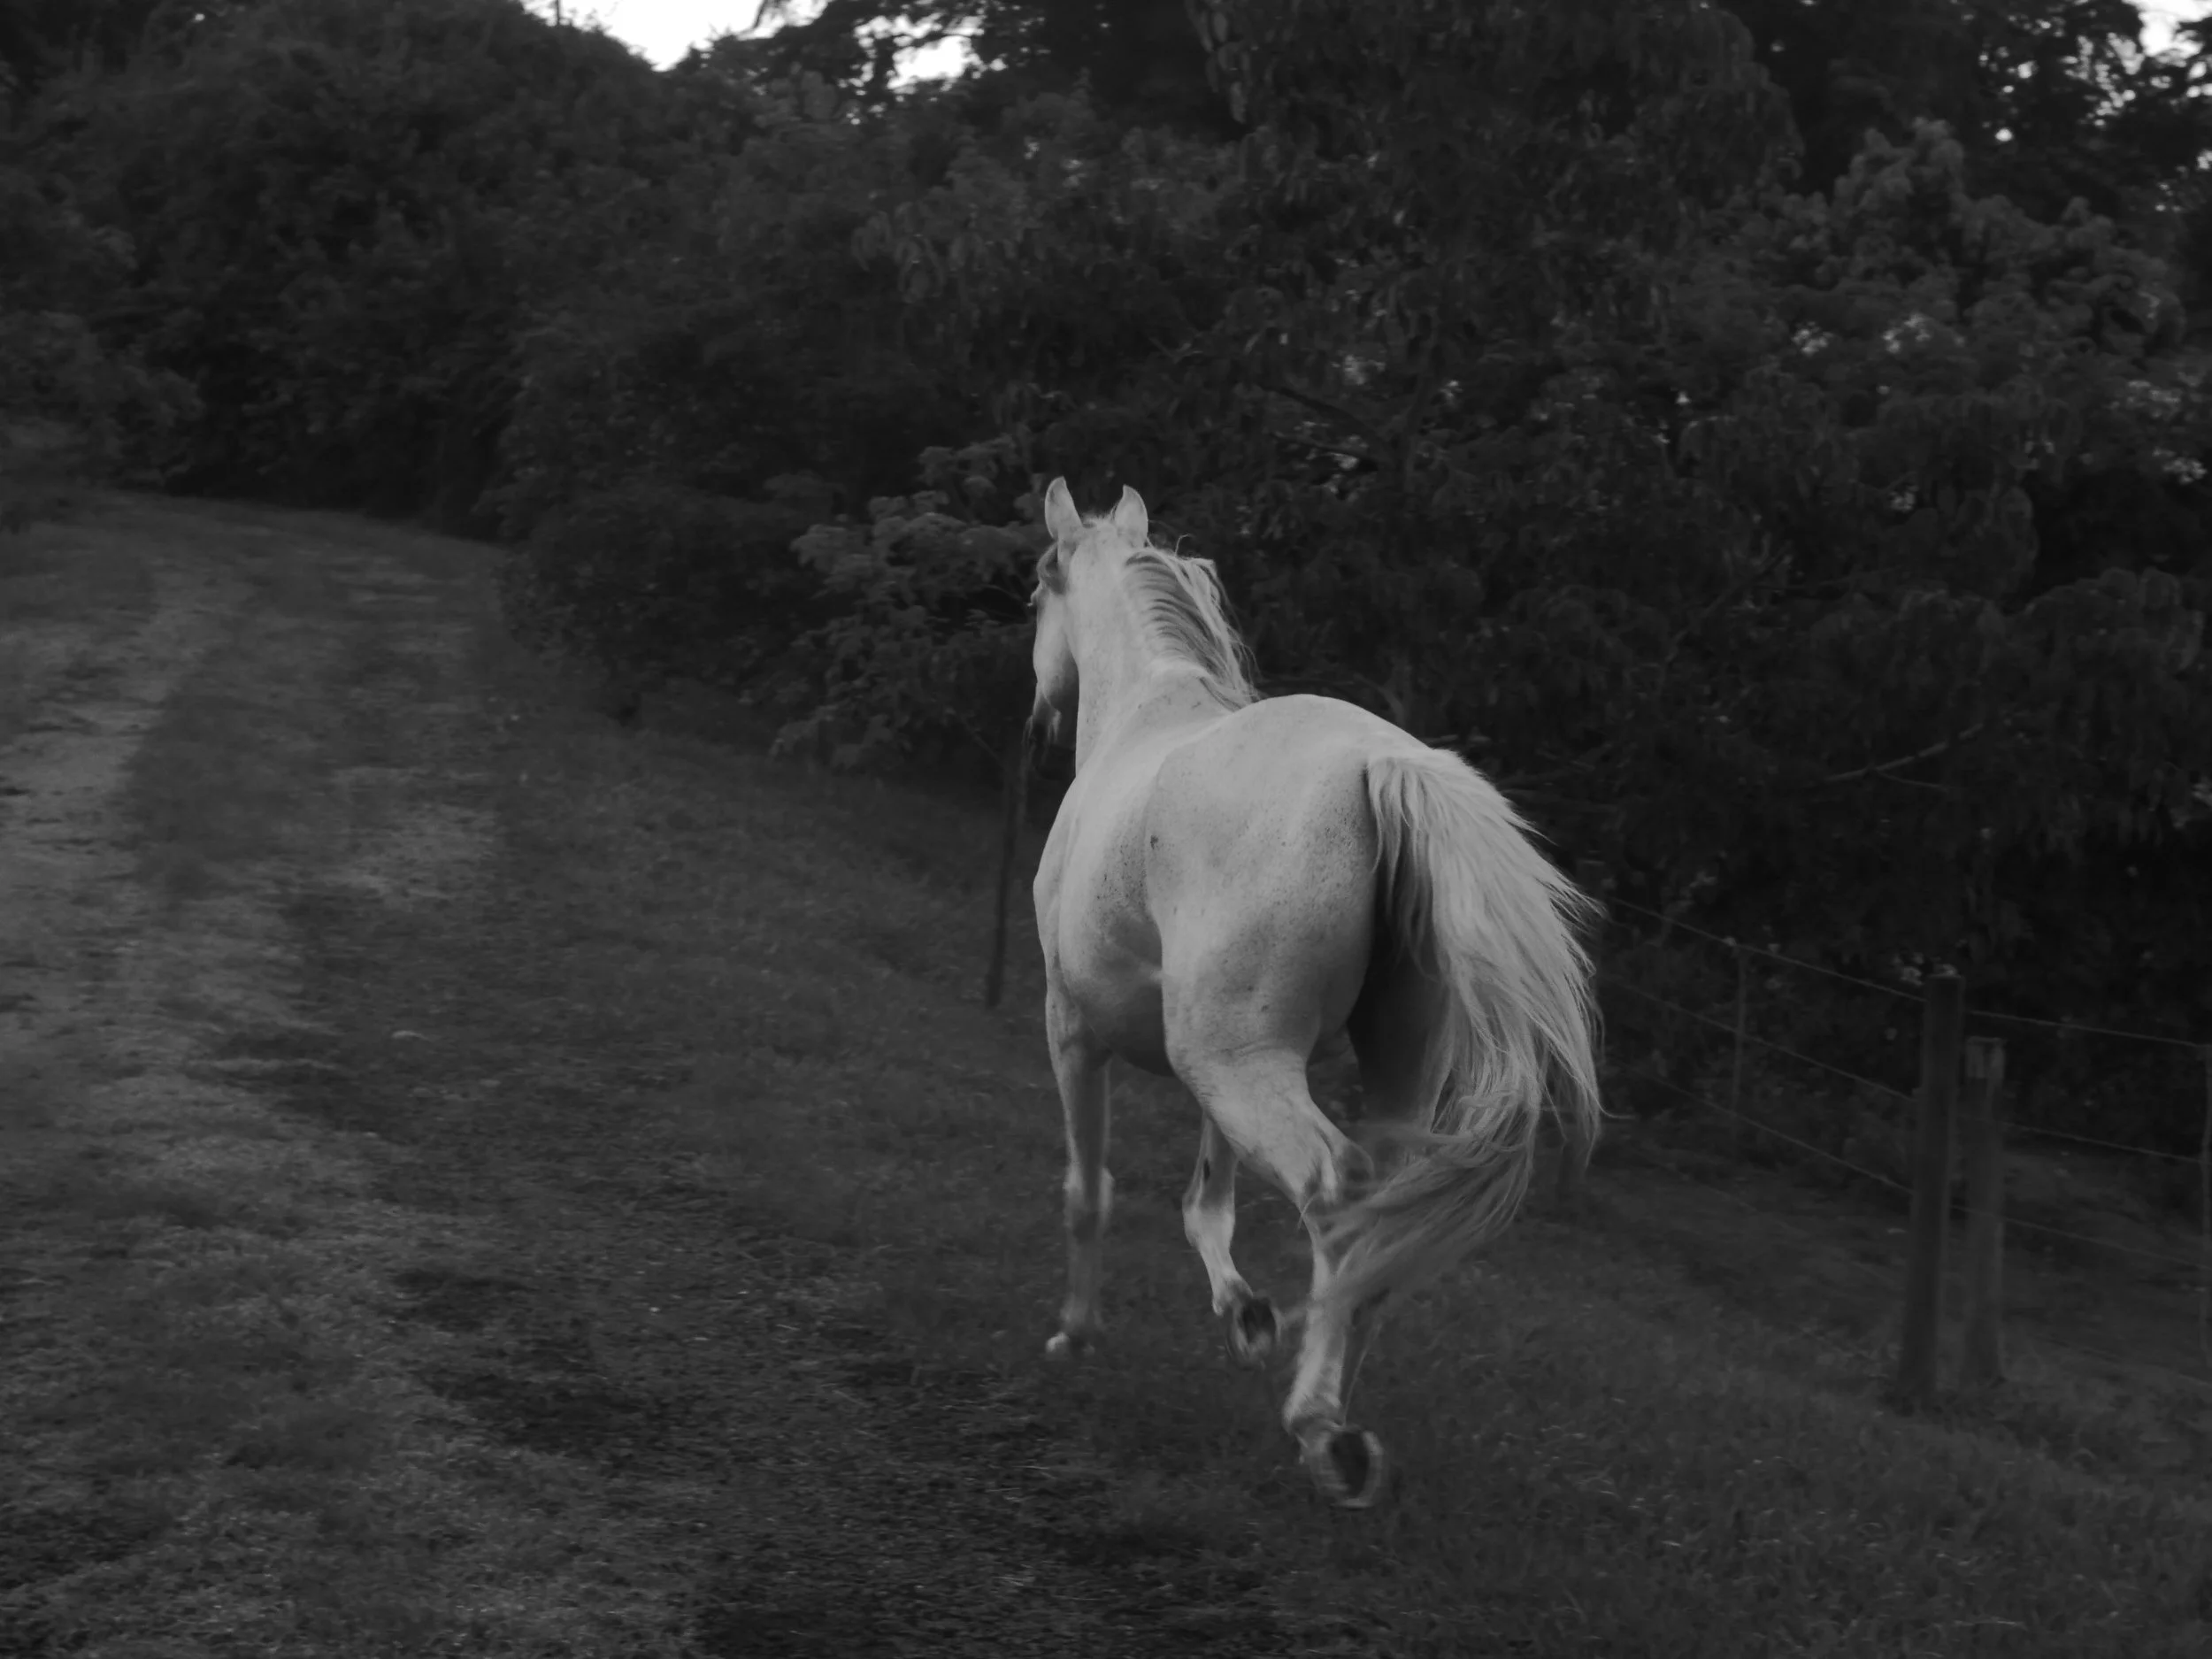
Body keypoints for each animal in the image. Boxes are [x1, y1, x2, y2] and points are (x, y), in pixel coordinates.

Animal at [1025, 477, 1602, 1508]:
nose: (1038, 714)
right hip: (1355, 1074)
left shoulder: (1075, 1031)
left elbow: (1087, 1189)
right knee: (1375, 1231)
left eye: (1032, 592)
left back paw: (1320, 1429)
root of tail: (1385, 770)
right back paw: (1328, 1413)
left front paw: (1075, 1334)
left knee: (1336, 1195)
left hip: (1237, 1064)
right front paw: (1245, 1313)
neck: (1146, 718)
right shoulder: (1219, 1069)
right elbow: (1209, 1195)